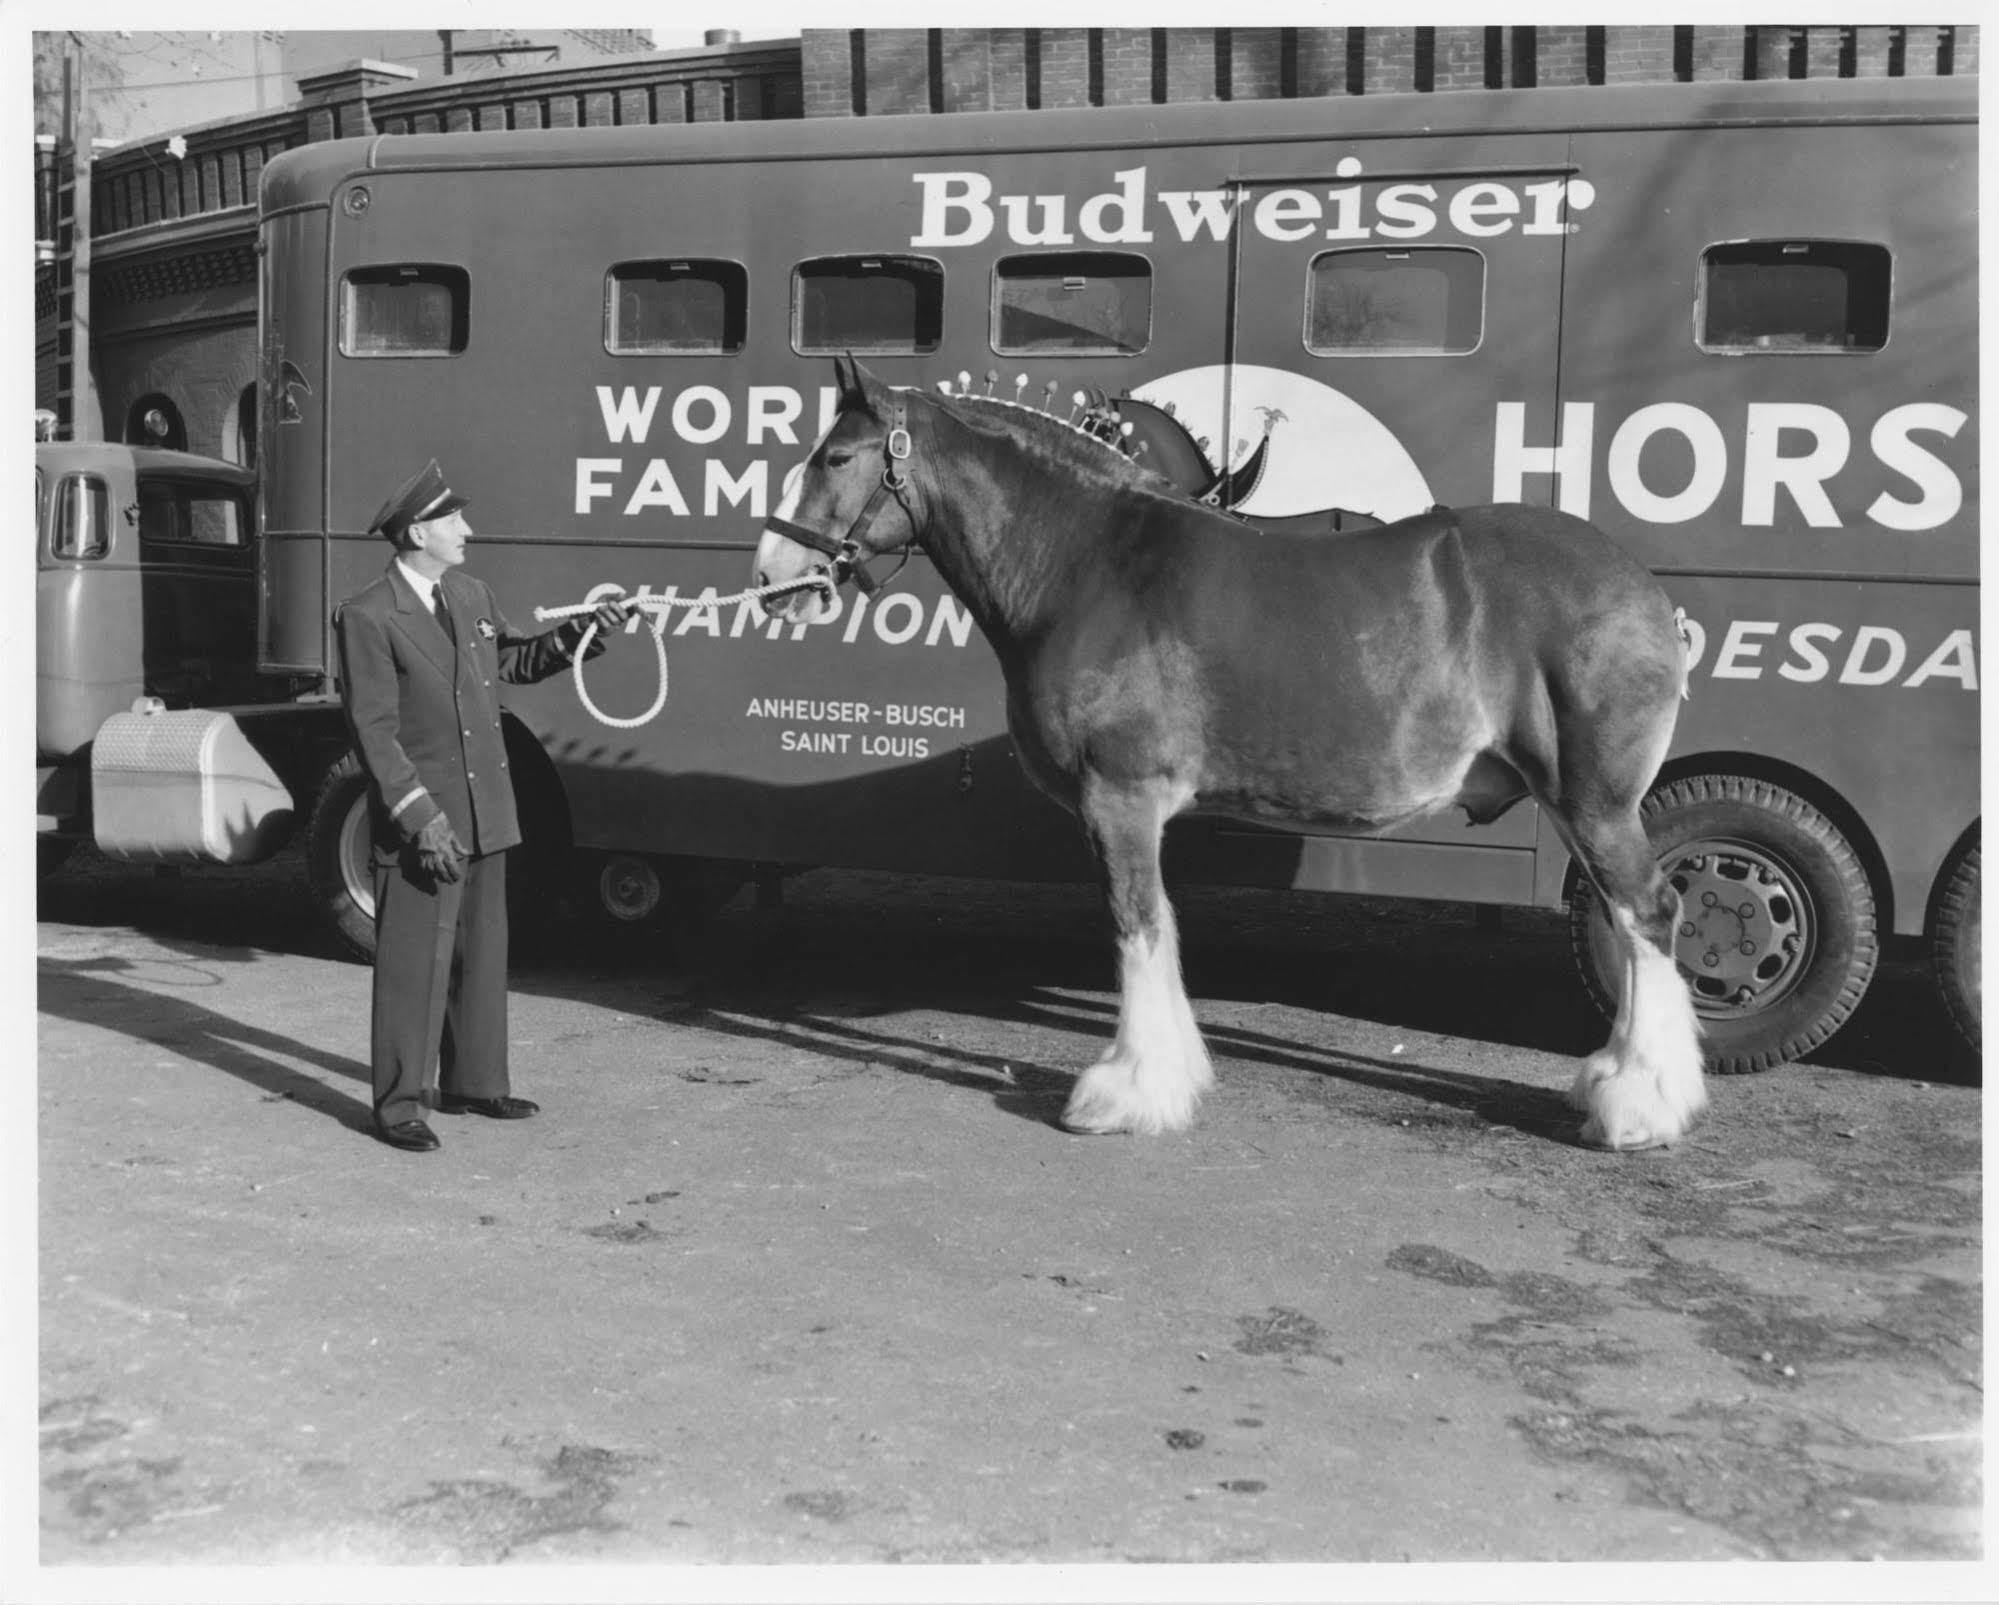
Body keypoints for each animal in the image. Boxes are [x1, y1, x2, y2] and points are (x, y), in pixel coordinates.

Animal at [751, 357, 1703, 1151]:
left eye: (835, 457)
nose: (769, 577)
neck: (1086, 565)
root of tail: (1642, 588)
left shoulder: (1119, 799)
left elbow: (1136, 927)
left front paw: (1126, 1093)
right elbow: (1161, 928)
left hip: (1594, 804)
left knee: (1647, 914)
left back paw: (1640, 1107)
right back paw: (1613, 1082)